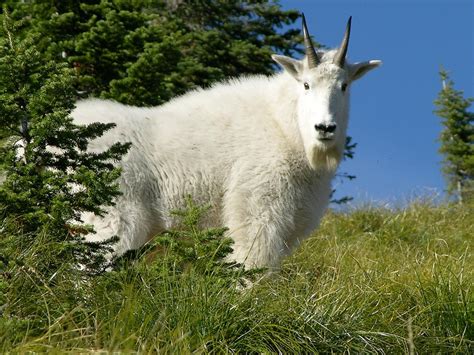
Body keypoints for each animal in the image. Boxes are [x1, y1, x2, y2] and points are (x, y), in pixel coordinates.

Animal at [73, 14, 382, 270]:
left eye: (344, 86)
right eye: (306, 85)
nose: (325, 128)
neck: (285, 128)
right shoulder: (258, 207)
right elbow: (251, 267)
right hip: (112, 217)